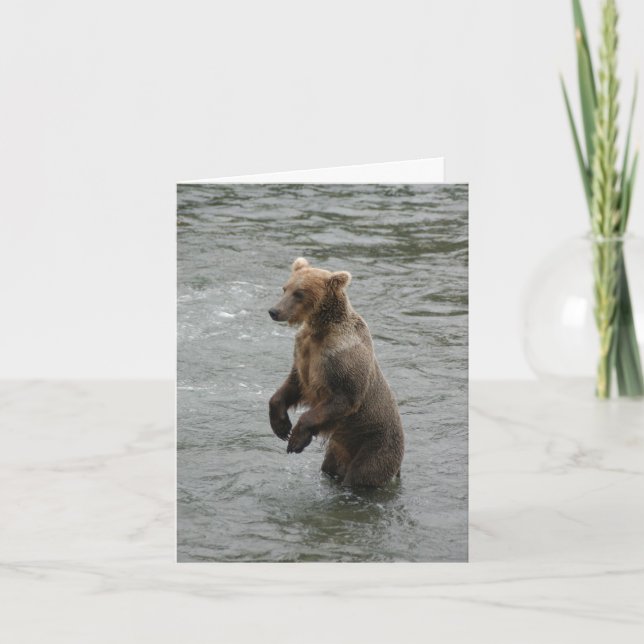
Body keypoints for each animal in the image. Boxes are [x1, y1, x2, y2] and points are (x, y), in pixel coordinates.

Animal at [267, 257, 404, 487]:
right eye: (285, 288)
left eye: (299, 293)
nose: (274, 311)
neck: (321, 329)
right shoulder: (303, 353)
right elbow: (293, 384)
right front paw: (281, 426)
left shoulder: (340, 360)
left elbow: (344, 398)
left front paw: (296, 439)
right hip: (337, 449)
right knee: (330, 467)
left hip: (374, 446)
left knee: (363, 475)